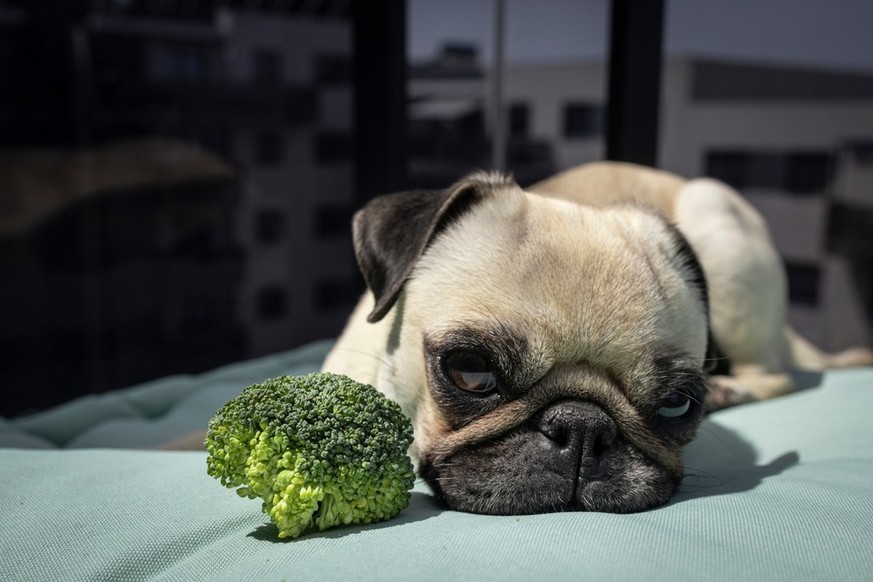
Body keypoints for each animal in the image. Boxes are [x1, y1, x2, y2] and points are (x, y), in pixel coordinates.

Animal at [322, 162, 872, 516]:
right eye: (471, 371)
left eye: (676, 404)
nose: (583, 427)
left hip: (721, 237)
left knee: (777, 374)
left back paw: (731, 389)